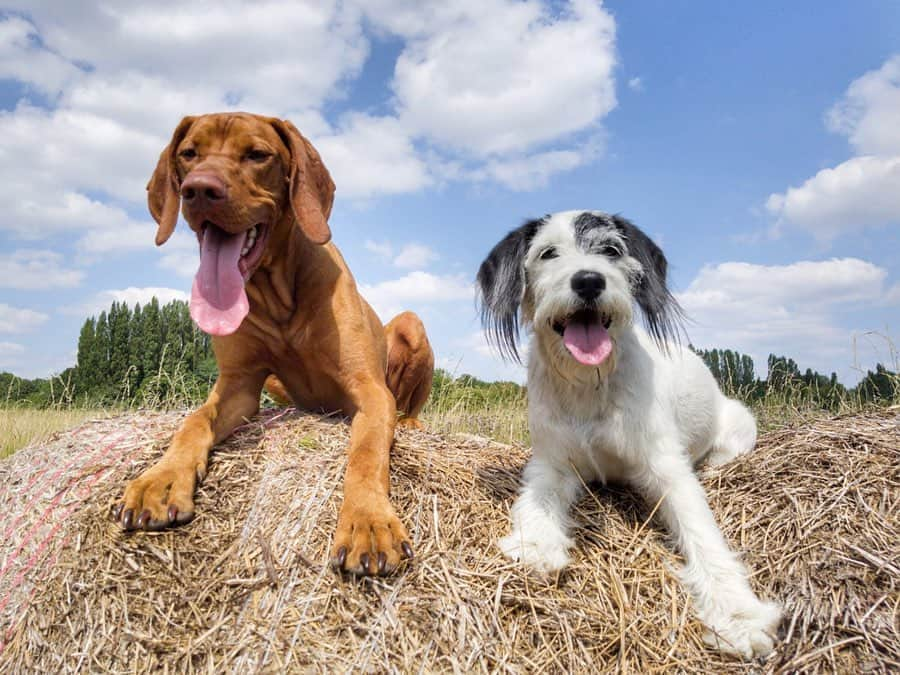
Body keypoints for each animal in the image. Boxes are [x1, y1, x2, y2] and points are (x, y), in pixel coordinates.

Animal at [110, 112, 434, 576]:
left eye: (257, 154)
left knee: (407, 405)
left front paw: (368, 522)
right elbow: (193, 421)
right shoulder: (239, 387)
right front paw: (161, 479)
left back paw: (411, 425)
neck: (278, 291)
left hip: (411, 325)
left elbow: (367, 452)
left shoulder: (371, 391)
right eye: (189, 153)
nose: (199, 190)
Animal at [478, 211, 780, 660]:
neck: (589, 384)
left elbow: (702, 532)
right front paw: (536, 544)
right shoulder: (553, 464)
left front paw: (737, 614)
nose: (589, 281)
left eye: (611, 250)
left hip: (739, 425)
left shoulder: (667, 469)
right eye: (548, 253)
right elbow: (537, 500)